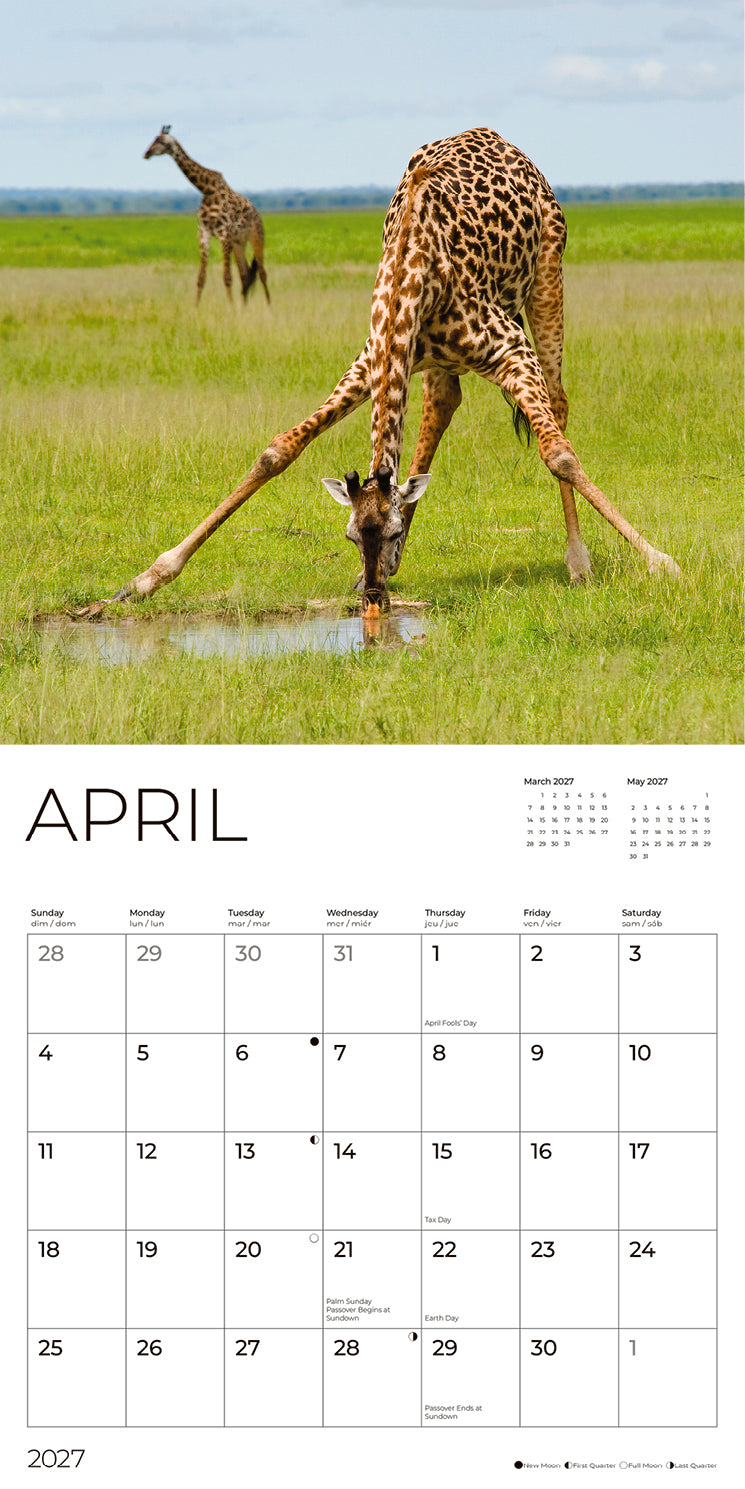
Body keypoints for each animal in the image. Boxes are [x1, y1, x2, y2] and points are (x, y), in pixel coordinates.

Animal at [143, 126, 270, 306]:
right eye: (154, 139)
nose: (146, 153)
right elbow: (201, 278)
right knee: (245, 275)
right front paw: (196, 308)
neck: (206, 189)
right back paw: (244, 308)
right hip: (238, 243)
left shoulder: (224, 234)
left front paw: (231, 309)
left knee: (262, 273)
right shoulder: (204, 233)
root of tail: (257, 214)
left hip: (256, 237)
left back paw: (269, 308)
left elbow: (227, 278)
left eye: (160, 141)